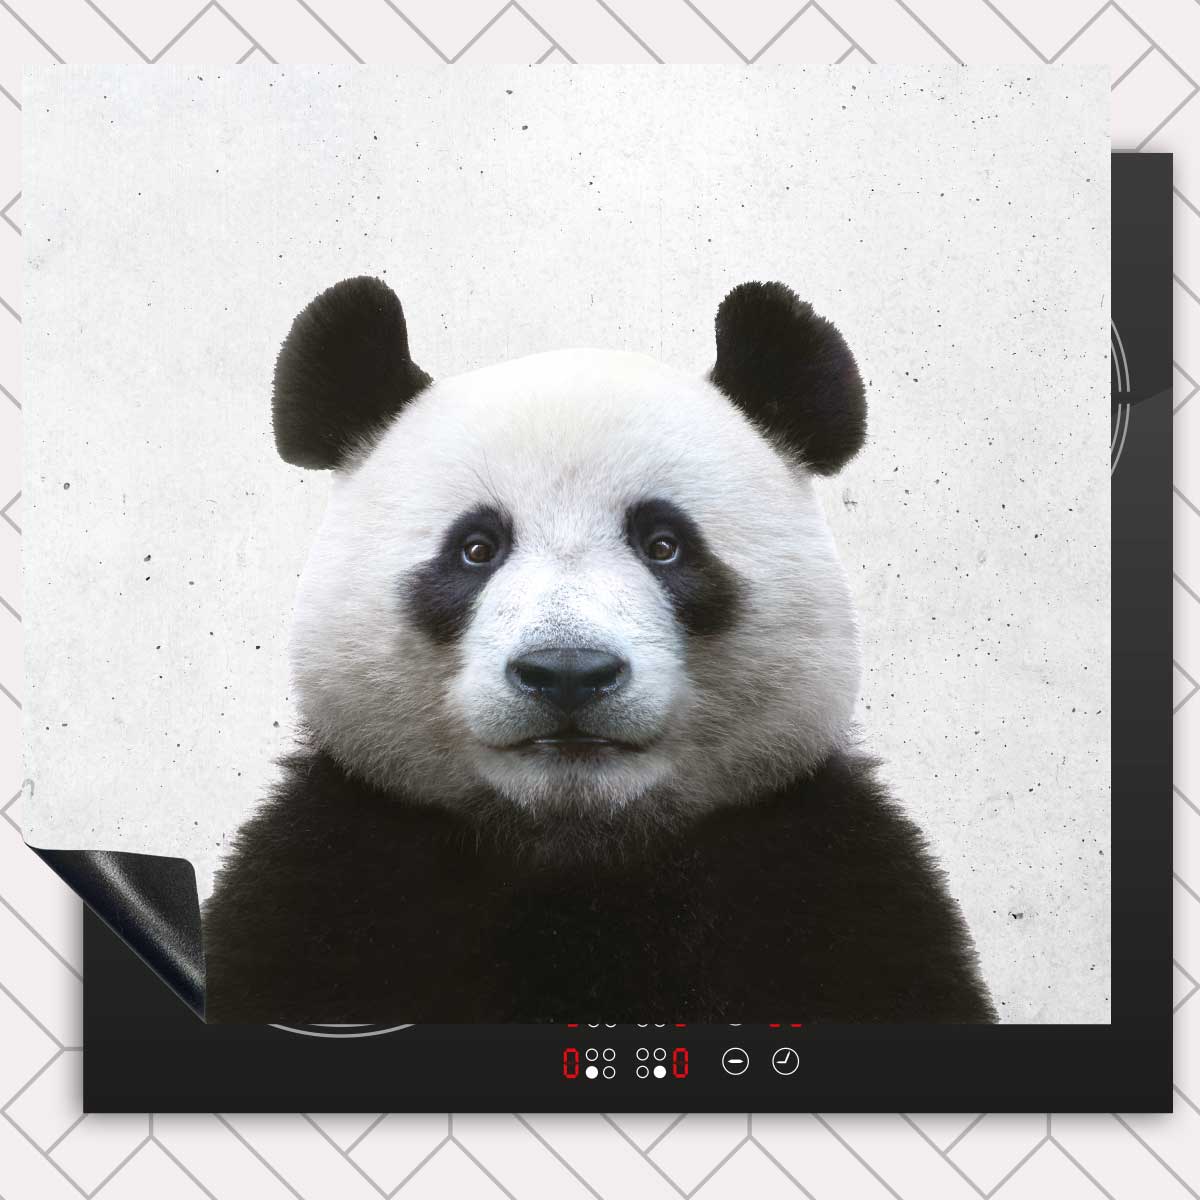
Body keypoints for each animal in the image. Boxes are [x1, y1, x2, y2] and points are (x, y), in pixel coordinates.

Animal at [202, 276, 996, 1024]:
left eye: (665, 544)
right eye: (476, 548)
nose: (567, 673)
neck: (579, 850)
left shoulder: (828, 883)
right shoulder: (330, 881)